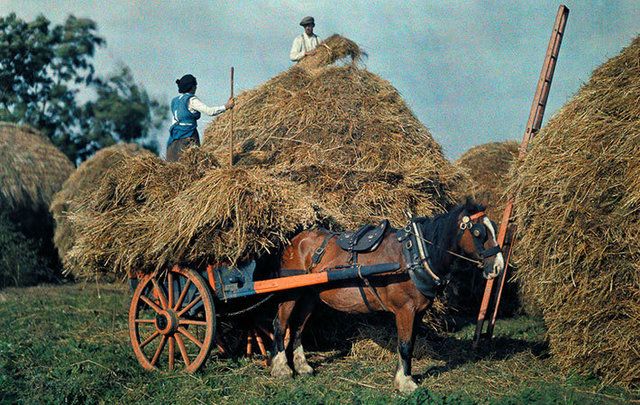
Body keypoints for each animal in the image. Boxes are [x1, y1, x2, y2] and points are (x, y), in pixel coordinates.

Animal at [270, 199, 504, 392]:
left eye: (494, 228)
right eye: (478, 233)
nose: (499, 267)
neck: (413, 256)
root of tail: (295, 240)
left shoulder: (418, 312)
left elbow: (410, 344)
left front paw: (402, 377)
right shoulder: (405, 310)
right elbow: (405, 344)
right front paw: (406, 383)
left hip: (311, 295)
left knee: (298, 327)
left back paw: (302, 366)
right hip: (291, 292)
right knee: (280, 324)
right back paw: (282, 368)